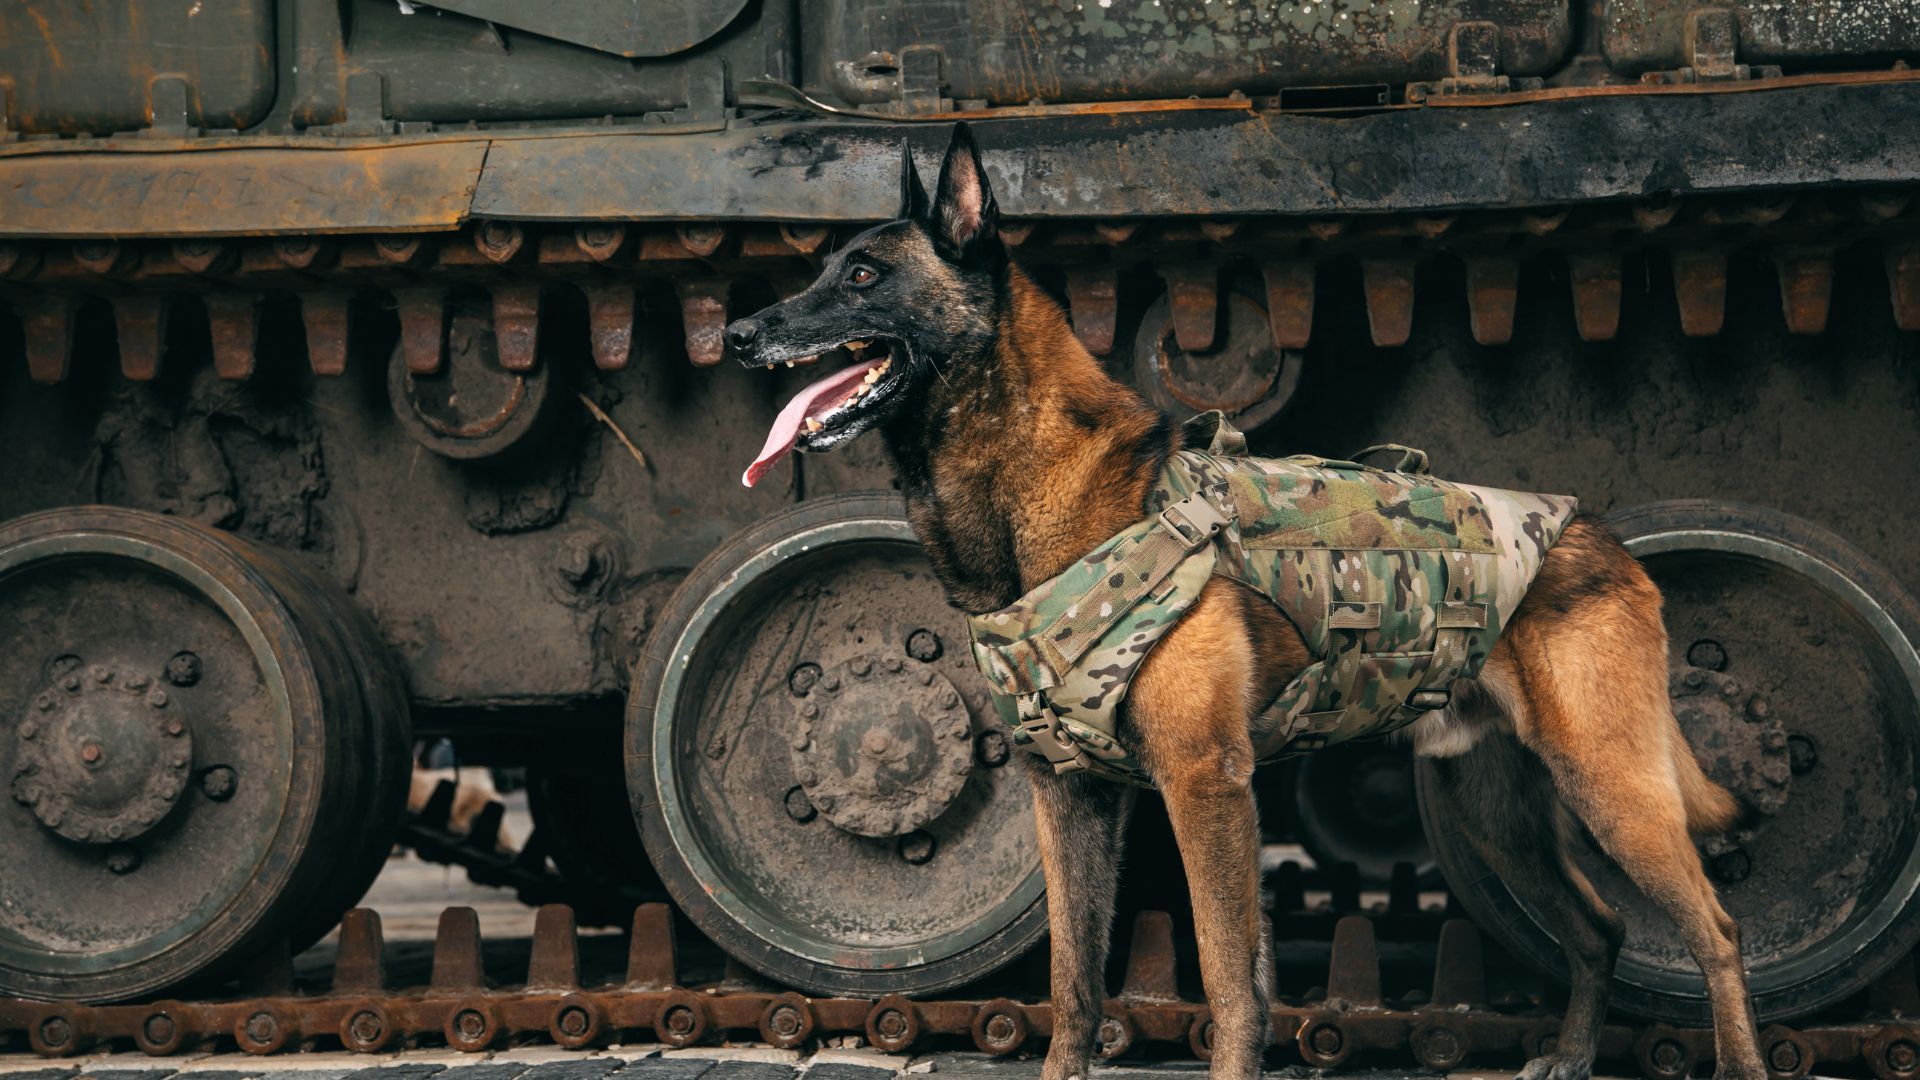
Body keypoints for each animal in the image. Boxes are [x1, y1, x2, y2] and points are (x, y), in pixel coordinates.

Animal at [721, 123, 1766, 1076]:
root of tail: (1596, 533)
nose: (736, 333)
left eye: (863, 276)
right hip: (1498, 812)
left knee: (1717, 931)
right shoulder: (1071, 795)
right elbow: (1073, 983)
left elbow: (1231, 984)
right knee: (1597, 932)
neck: (1044, 503)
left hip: (1613, 788)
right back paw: (1576, 1056)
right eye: (822, 270)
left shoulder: (1206, 782)